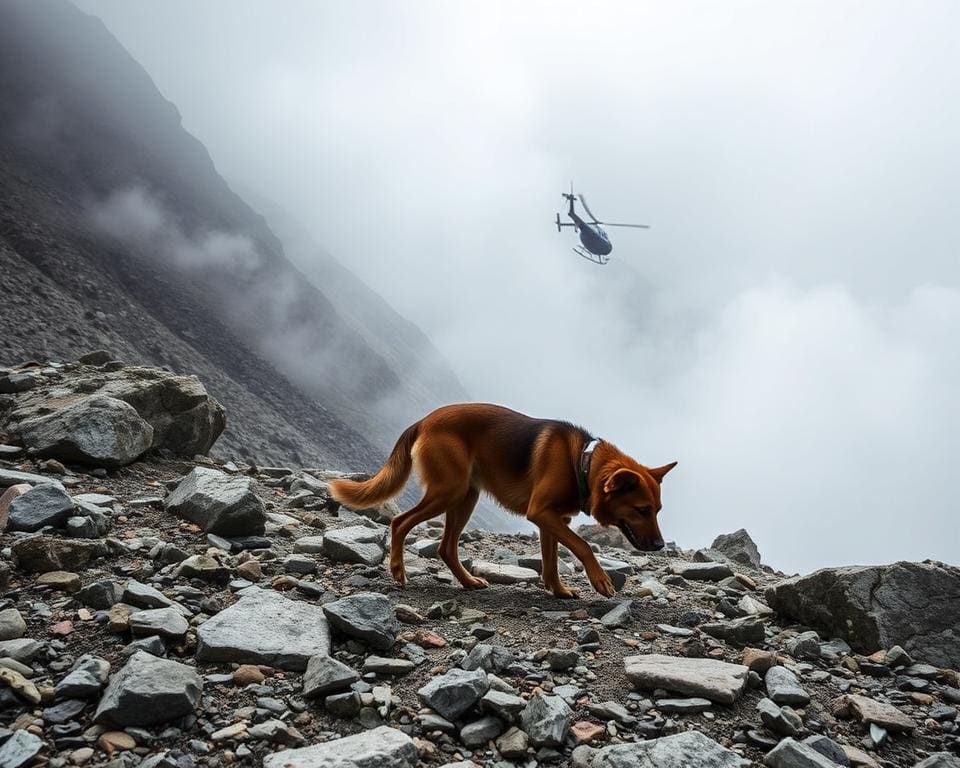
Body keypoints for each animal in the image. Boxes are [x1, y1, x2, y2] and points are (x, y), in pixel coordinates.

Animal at [328, 404, 676, 596]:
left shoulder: (553, 520)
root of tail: (423, 421)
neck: (582, 462)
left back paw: (468, 582)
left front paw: (559, 591)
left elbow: (551, 562)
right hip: (449, 491)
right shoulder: (541, 513)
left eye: (658, 510)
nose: (660, 546)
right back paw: (398, 570)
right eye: (642, 510)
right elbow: (583, 545)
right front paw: (601, 580)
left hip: (466, 496)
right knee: (400, 522)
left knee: (446, 547)